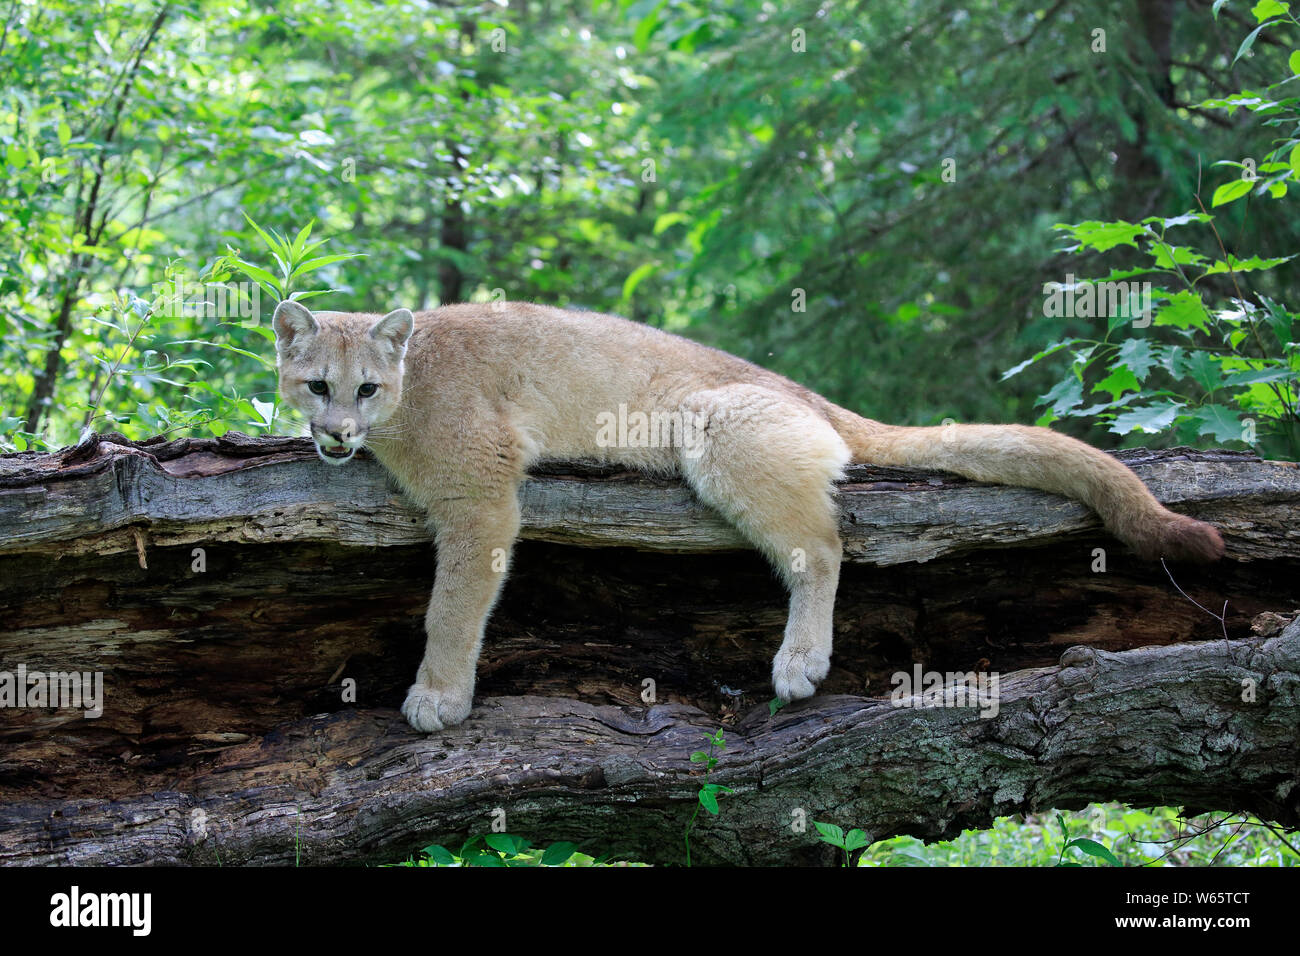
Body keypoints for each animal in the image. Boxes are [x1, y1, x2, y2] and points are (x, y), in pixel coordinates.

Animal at [269, 299, 1222, 733]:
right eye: (315, 384)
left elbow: (453, 605)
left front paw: (437, 695)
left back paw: (801, 662)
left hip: (715, 424)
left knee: (823, 547)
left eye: (366, 388)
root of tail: (804, 391)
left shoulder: (481, 495)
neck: (409, 399)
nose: (336, 433)